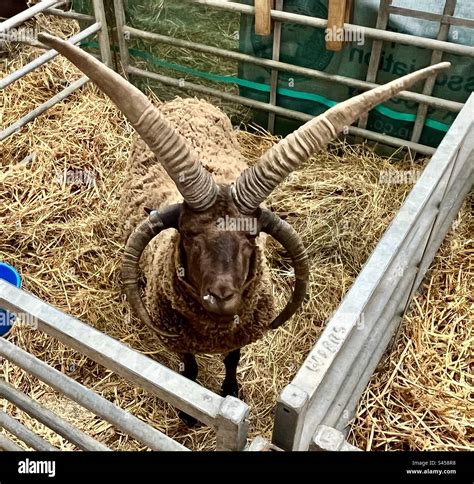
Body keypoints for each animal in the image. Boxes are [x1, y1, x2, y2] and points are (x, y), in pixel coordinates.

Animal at [39, 33, 450, 420]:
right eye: (188, 233)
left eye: (252, 237)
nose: (221, 296)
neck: (215, 329)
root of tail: (188, 99)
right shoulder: (180, 340)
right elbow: (188, 369)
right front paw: (189, 412)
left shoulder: (240, 336)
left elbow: (232, 361)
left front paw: (231, 391)